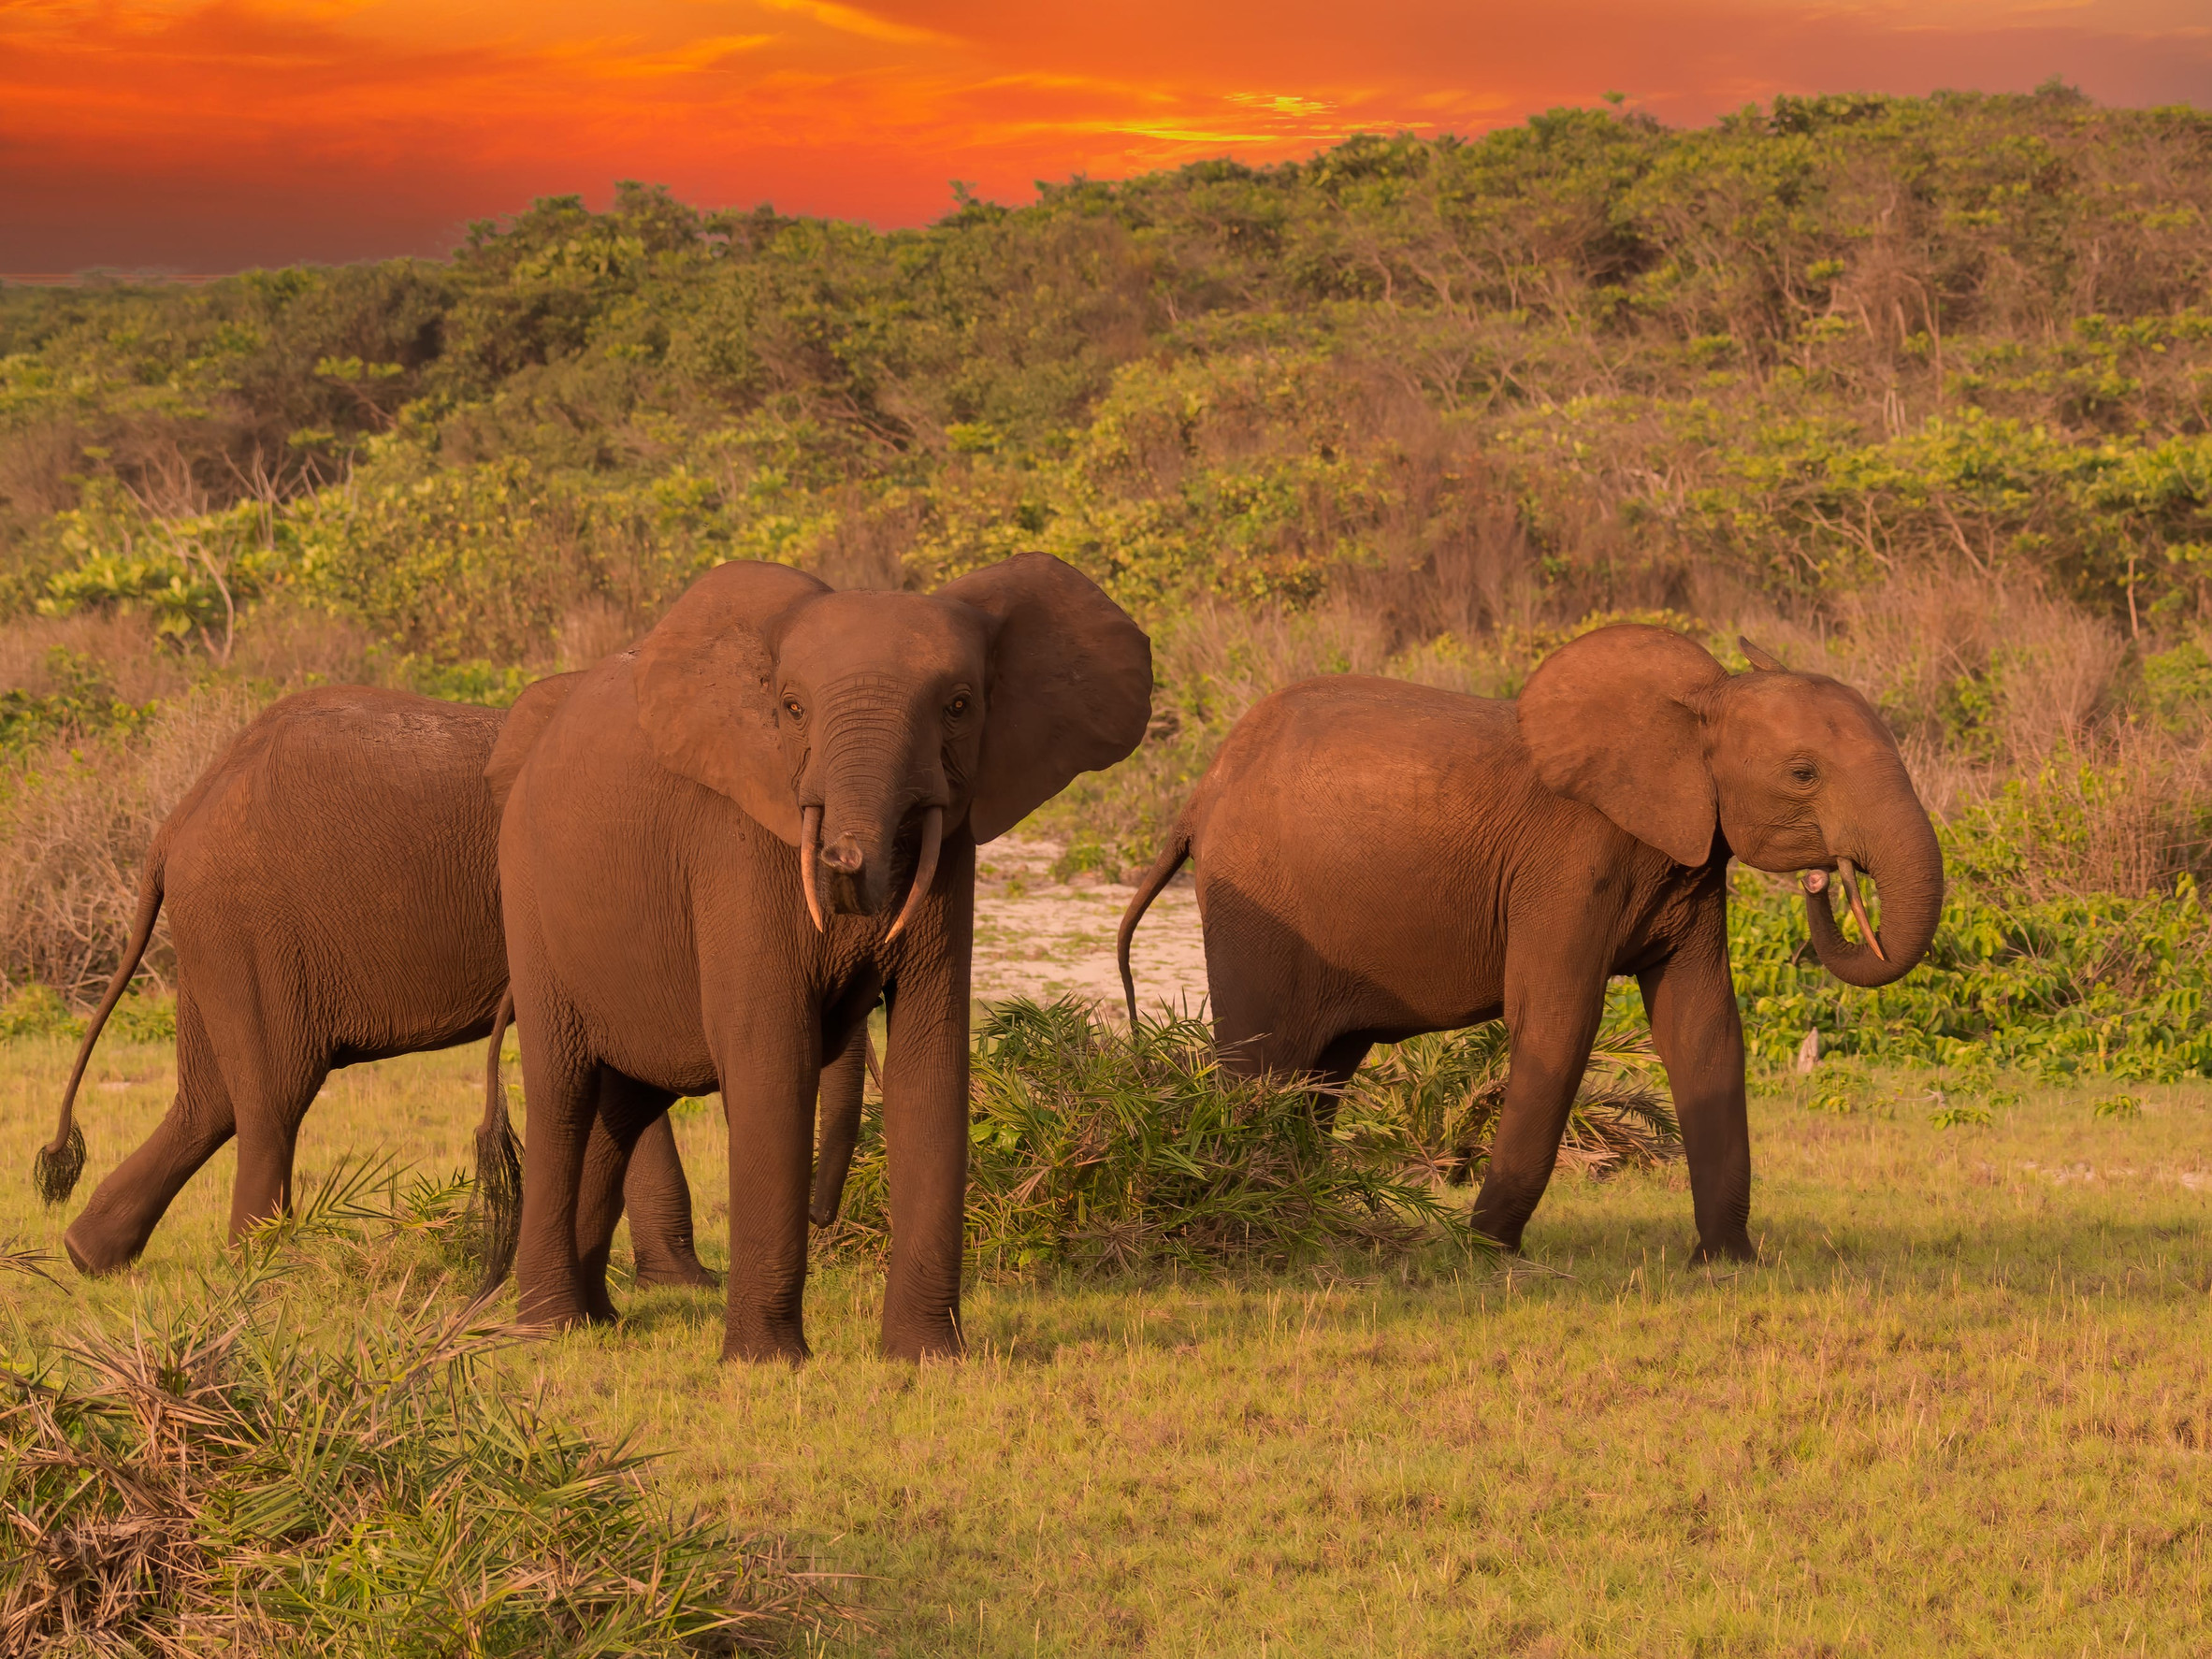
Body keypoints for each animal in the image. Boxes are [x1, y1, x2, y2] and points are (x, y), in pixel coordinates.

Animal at [34, 681, 731, 1285]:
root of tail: (179, 819)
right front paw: (687, 1286)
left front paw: (682, 1285)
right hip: (252, 926)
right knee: (273, 1095)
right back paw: (265, 1273)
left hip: (219, 933)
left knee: (208, 1103)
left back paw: (88, 1256)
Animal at [497, 551, 1150, 1360]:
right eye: (791, 709)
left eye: (959, 705)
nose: (841, 858)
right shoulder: (736, 839)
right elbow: (772, 1054)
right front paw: (764, 1365)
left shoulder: (951, 852)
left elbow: (929, 1059)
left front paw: (926, 1359)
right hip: (526, 892)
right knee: (561, 1091)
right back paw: (546, 1327)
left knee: (626, 1102)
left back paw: (597, 1323)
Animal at [1117, 624, 1943, 1263]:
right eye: (1802, 774)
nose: (1823, 881)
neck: (1696, 707)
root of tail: (1199, 792)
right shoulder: (1567, 861)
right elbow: (1557, 1020)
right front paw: (1485, 1253)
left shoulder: (1689, 856)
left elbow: (1701, 1024)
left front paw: (1727, 1264)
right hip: (1252, 908)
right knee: (1261, 1066)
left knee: (1318, 1076)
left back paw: (1303, 1218)